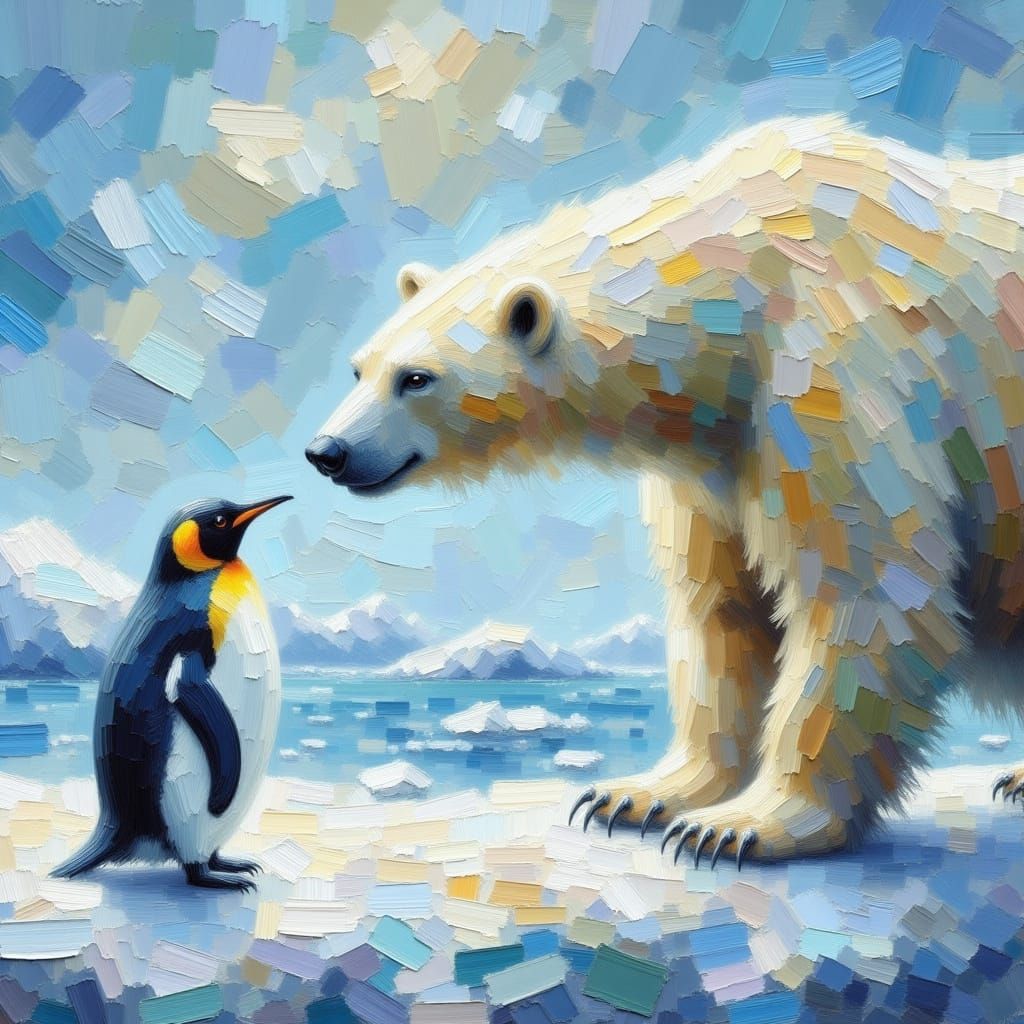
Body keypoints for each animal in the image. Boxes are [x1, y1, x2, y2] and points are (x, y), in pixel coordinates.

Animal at [307, 114, 1024, 869]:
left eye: (416, 378)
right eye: (360, 367)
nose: (327, 452)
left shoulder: (834, 371)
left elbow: (864, 591)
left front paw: (748, 825)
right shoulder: (712, 460)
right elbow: (721, 611)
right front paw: (642, 795)